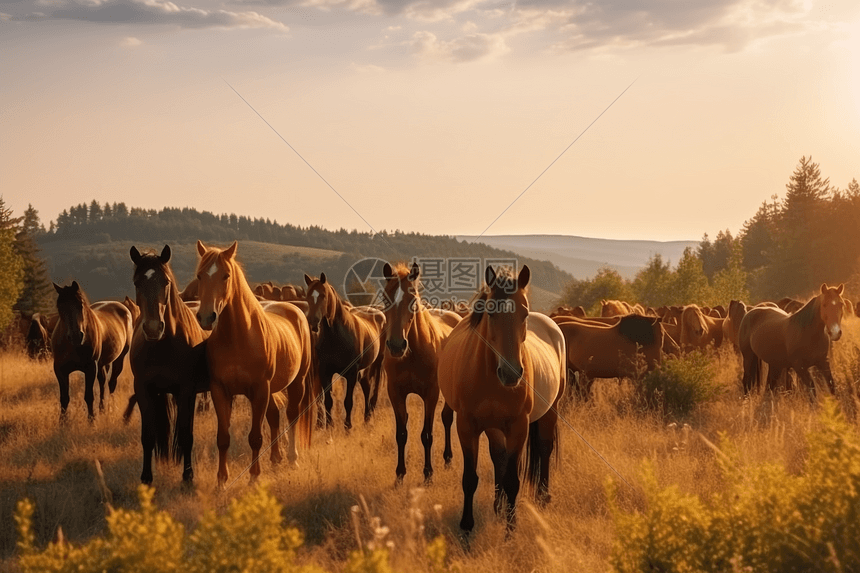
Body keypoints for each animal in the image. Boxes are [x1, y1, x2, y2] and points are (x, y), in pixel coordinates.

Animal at [52, 282, 132, 420]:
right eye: (60, 307)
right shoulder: (60, 370)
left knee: (111, 383)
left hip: (119, 358)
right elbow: (64, 398)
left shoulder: (90, 368)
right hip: (102, 364)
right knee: (102, 381)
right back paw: (102, 409)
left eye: (80, 305)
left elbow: (89, 397)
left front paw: (91, 420)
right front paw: (62, 422)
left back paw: (110, 409)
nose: (76, 336)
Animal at [194, 239, 316, 484]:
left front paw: (254, 477)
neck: (238, 337)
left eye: (226, 275)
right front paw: (222, 480)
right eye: (200, 275)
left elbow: (255, 437)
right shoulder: (220, 391)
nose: (206, 317)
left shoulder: (259, 390)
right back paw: (276, 458)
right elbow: (223, 437)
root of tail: (295, 310)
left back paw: (292, 458)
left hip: (296, 383)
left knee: (292, 415)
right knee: (274, 416)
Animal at [302, 272, 382, 428]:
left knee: (372, 390)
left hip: (376, 365)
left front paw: (347, 427)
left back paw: (368, 418)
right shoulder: (325, 372)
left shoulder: (351, 373)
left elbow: (348, 402)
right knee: (367, 387)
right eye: (308, 296)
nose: (313, 323)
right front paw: (329, 426)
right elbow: (328, 401)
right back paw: (366, 419)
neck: (336, 335)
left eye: (323, 295)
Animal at [440, 266, 568, 536]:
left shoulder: (518, 427)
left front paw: (511, 530)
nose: (511, 373)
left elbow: (512, 480)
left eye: (524, 313)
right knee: (498, 456)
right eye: (490, 311)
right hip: (494, 427)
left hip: (551, 410)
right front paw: (466, 528)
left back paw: (542, 497)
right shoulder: (467, 426)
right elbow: (471, 478)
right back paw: (498, 506)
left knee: (545, 448)